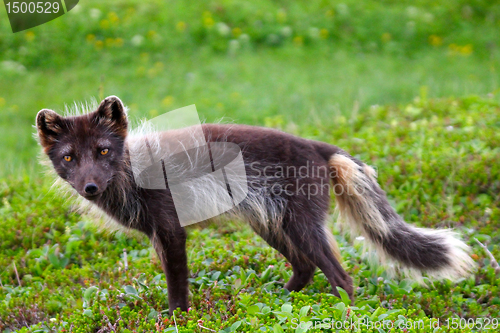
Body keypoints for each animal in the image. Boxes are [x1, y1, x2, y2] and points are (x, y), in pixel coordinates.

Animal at [37, 96, 474, 314]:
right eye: (69, 158)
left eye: (104, 150)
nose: (90, 187)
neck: (132, 172)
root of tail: (318, 146)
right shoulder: (157, 236)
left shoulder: (172, 230)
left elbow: (177, 286)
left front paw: (179, 319)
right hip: (269, 223)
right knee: (306, 267)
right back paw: (278, 301)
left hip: (300, 225)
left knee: (341, 277)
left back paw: (344, 316)